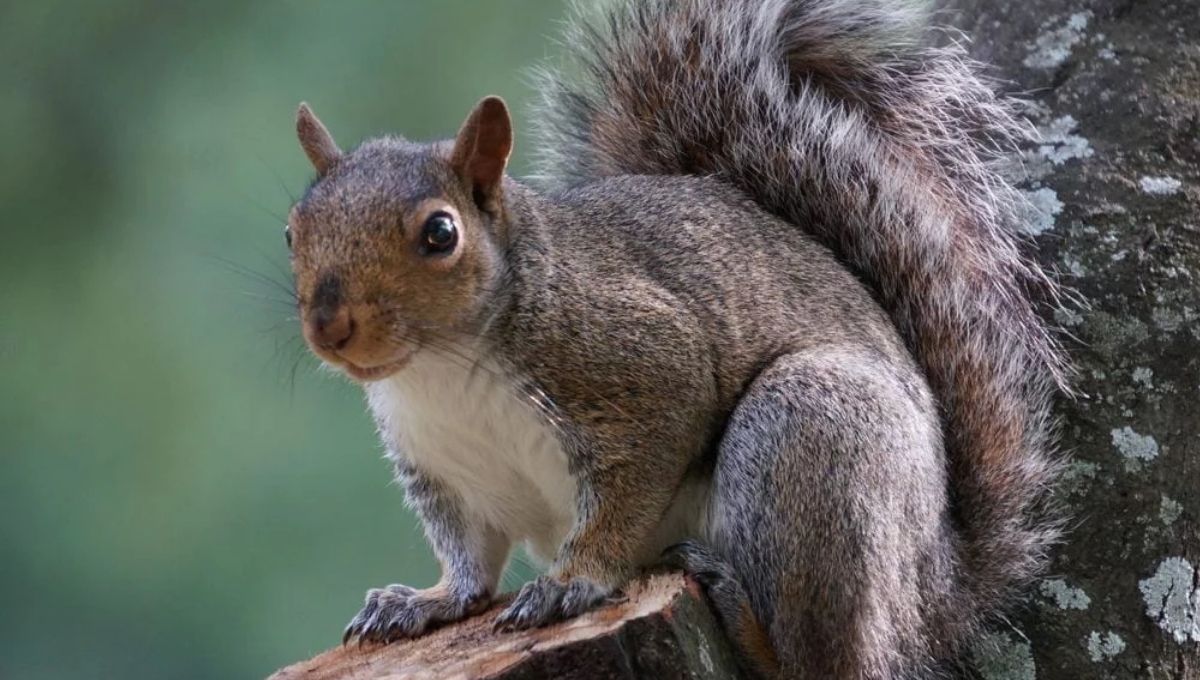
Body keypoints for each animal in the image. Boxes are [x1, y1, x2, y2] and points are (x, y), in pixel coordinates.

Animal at [284, 0, 1067, 677]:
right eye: (294, 230)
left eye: (440, 234)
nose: (330, 327)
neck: (442, 370)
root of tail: (940, 591)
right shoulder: (445, 468)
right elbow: (470, 561)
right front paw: (426, 602)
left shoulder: (647, 367)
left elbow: (629, 494)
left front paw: (573, 582)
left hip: (810, 428)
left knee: (824, 660)